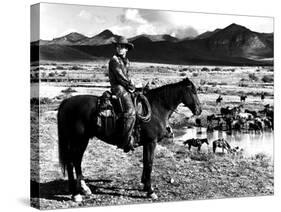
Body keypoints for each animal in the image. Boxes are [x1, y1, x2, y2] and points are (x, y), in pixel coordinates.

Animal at [57, 78, 201, 202]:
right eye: (193, 91)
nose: (199, 110)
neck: (156, 108)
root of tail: (66, 102)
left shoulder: (146, 143)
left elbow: (145, 162)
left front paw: (145, 185)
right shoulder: (151, 142)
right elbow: (149, 164)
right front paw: (150, 191)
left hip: (82, 140)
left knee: (76, 161)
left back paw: (84, 189)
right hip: (77, 139)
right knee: (72, 162)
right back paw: (75, 194)